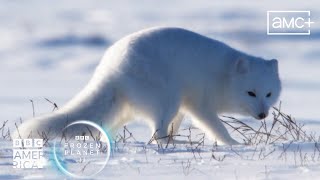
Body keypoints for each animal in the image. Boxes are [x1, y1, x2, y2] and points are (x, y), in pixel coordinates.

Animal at [13, 27, 282, 145]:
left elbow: (176, 125)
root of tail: (110, 68)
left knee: (115, 128)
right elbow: (216, 127)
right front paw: (235, 145)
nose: (262, 115)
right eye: (251, 92)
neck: (223, 77)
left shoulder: (185, 107)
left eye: (269, 94)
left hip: (132, 106)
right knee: (157, 132)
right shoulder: (199, 105)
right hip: (166, 99)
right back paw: (174, 144)